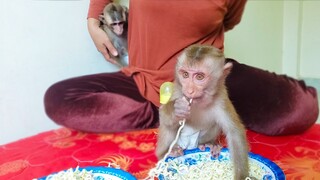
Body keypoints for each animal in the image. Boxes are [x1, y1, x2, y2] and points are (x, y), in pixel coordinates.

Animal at [156, 44, 251, 179]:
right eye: (185, 75)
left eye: (199, 77)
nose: (189, 91)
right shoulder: (179, 92)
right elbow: (163, 115)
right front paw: (177, 109)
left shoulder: (221, 98)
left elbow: (234, 132)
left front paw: (242, 176)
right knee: (168, 127)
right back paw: (168, 152)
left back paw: (208, 144)